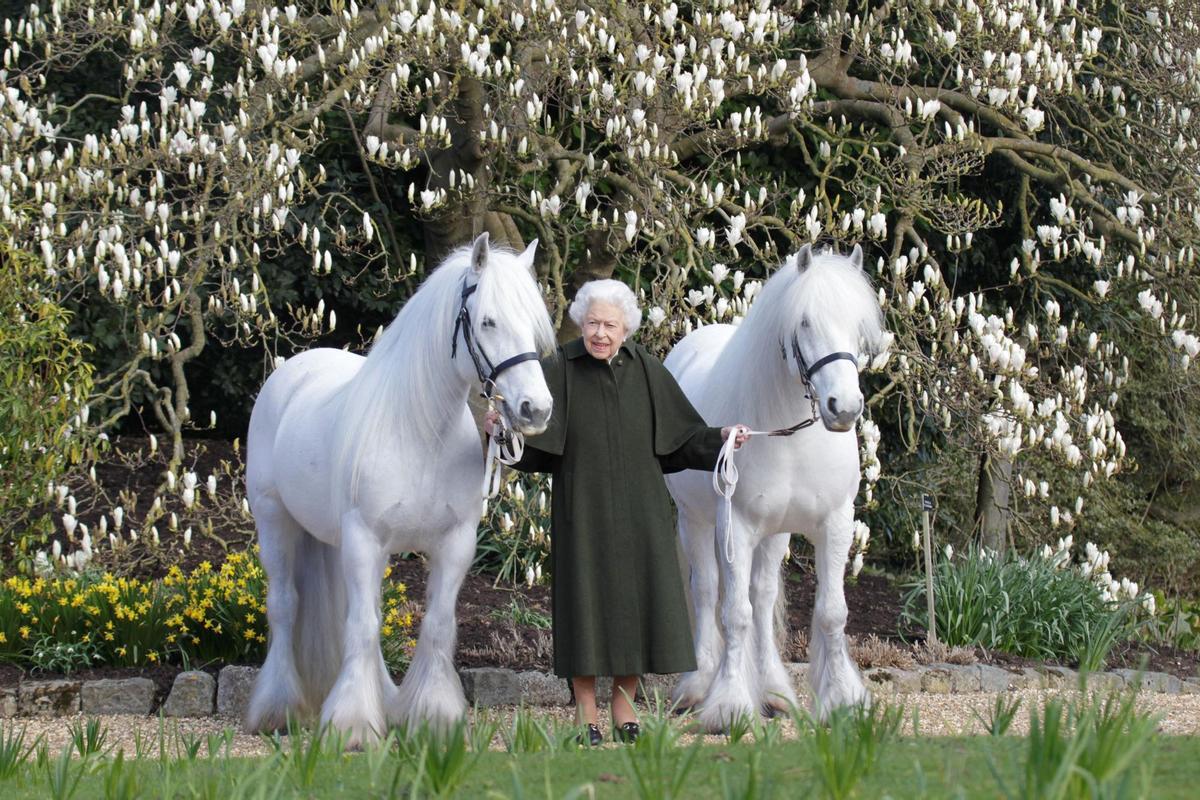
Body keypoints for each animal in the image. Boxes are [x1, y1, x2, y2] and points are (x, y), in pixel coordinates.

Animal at [250, 235, 559, 748]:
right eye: (488, 320)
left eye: (534, 325)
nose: (535, 409)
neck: (420, 433)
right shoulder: (364, 539)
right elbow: (361, 626)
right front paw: (352, 726)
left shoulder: (455, 543)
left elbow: (434, 625)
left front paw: (433, 717)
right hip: (275, 523)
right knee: (286, 606)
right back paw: (278, 708)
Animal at [662, 244, 888, 734]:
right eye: (804, 322)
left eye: (858, 325)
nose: (844, 408)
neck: (791, 435)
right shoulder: (737, 526)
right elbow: (734, 614)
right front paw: (728, 705)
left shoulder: (835, 523)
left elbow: (830, 612)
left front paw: (842, 700)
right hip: (696, 521)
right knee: (707, 591)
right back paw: (698, 686)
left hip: (775, 533)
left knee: (763, 598)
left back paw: (773, 691)